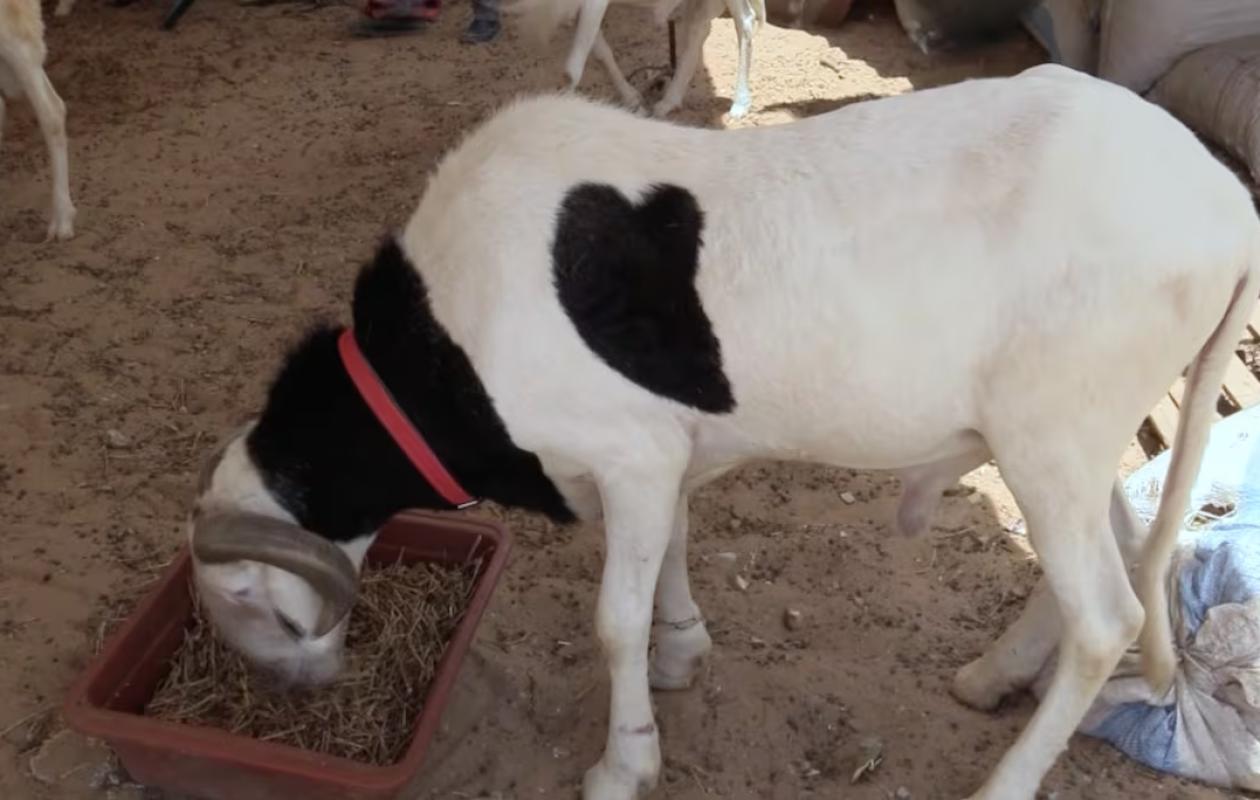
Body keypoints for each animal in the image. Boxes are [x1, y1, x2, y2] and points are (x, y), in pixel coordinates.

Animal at [189, 65, 1260, 800]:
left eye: (242, 597)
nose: (293, 694)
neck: (446, 334)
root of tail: (1224, 198)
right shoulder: (663, 457)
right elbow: (671, 550)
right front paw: (681, 653)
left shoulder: (628, 455)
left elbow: (612, 620)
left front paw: (623, 761)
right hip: (1077, 441)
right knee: (1121, 549)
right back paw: (991, 677)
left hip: (1052, 435)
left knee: (1107, 618)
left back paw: (1003, 780)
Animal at [511, 0, 766, 118]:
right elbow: (600, 51)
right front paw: (632, 99)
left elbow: (572, 70)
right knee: (699, 28)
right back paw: (668, 101)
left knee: (744, 22)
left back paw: (740, 103)